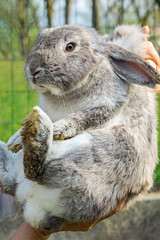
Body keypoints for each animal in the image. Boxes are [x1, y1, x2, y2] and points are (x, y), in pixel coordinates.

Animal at [0, 24, 160, 232]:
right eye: (39, 38)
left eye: (70, 46)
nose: (33, 69)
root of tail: (33, 206)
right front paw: (15, 139)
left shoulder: (108, 104)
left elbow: (80, 118)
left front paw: (57, 129)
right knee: (11, 181)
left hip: (92, 161)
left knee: (38, 171)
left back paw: (38, 128)